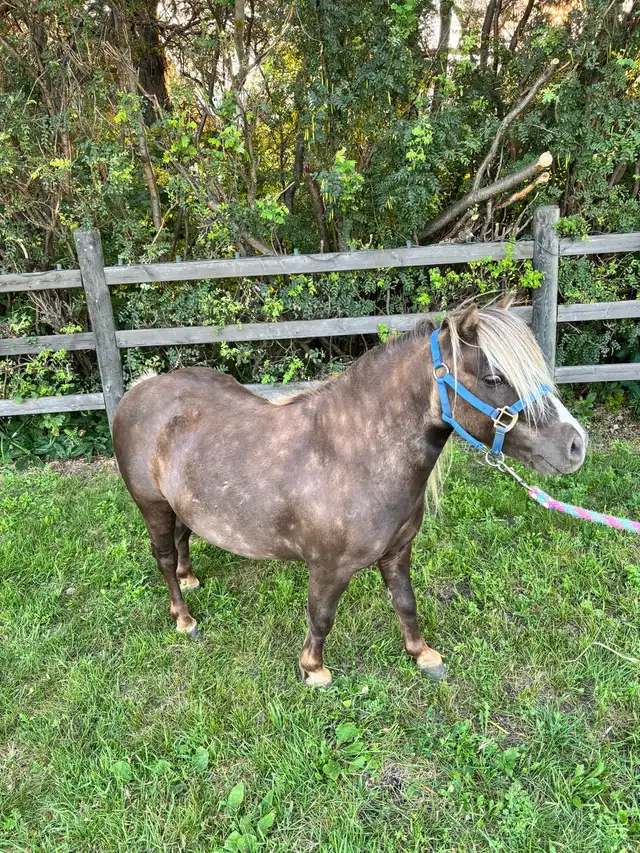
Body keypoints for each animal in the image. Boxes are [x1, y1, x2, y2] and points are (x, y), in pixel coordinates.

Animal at [112, 301, 587, 686]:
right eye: (492, 378)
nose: (575, 445)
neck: (355, 456)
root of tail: (140, 390)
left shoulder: (398, 552)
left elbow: (406, 603)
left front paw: (423, 655)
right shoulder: (328, 568)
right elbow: (321, 616)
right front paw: (314, 669)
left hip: (184, 506)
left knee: (183, 539)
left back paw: (189, 579)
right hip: (153, 507)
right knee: (164, 558)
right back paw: (184, 618)